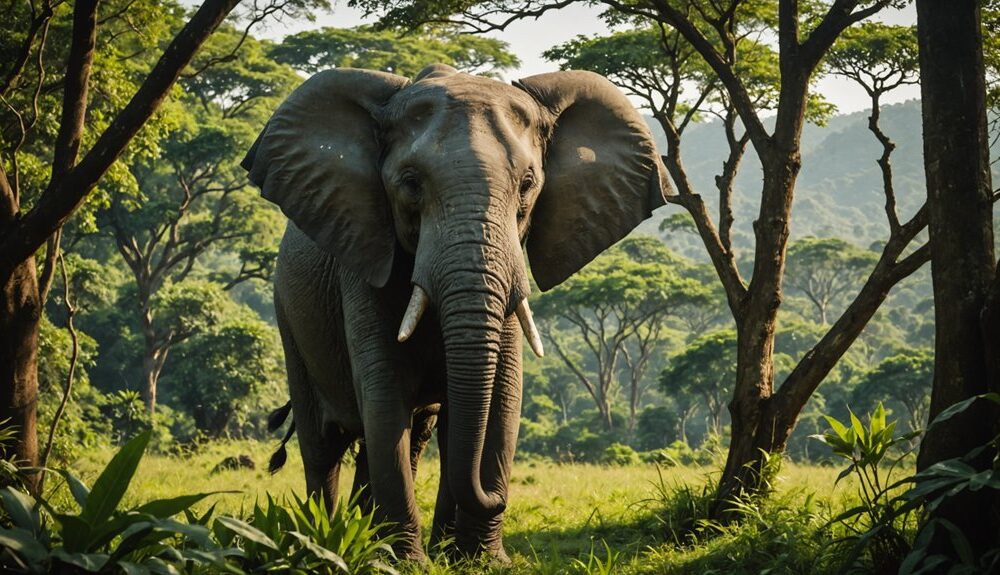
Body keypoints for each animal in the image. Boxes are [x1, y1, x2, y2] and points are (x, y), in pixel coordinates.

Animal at [238, 63, 668, 564]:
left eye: (527, 184)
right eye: (410, 183)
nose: (496, 495)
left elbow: (502, 395)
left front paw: (480, 559)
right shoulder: (364, 265)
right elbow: (385, 394)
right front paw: (406, 562)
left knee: (410, 437)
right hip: (289, 318)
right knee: (324, 444)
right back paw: (326, 538)